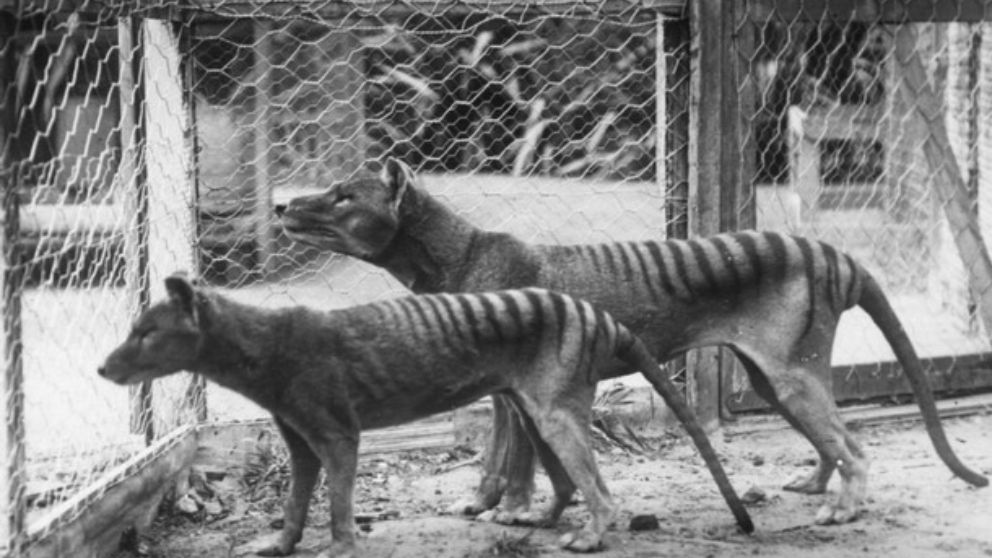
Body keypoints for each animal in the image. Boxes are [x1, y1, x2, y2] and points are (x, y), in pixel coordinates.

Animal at [98, 274, 753, 558]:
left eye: (146, 332)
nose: (103, 368)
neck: (264, 346)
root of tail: (598, 314)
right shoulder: (299, 440)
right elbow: (295, 501)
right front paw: (280, 544)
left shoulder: (338, 433)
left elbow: (338, 504)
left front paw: (340, 548)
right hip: (534, 410)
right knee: (568, 483)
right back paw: (540, 520)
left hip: (554, 412)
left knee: (601, 490)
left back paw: (591, 535)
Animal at [277, 157, 988, 527]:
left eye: (343, 197)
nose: (283, 205)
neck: (460, 253)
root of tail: (836, 255)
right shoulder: (504, 390)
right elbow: (496, 458)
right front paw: (482, 502)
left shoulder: (514, 389)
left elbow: (515, 459)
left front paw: (512, 511)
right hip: (770, 377)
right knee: (831, 438)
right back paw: (819, 486)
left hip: (789, 374)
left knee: (853, 445)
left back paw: (844, 509)